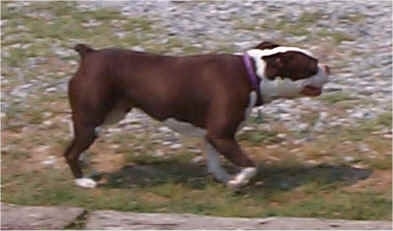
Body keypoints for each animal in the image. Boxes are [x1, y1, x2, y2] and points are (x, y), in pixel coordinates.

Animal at [63, 41, 328, 189]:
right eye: (312, 66)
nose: (328, 66)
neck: (253, 73)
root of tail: (89, 54)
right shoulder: (222, 135)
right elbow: (251, 166)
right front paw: (238, 181)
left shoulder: (213, 135)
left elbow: (214, 162)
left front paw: (224, 179)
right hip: (91, 121)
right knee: (70, 152)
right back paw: (82, 181)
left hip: (111, 115)